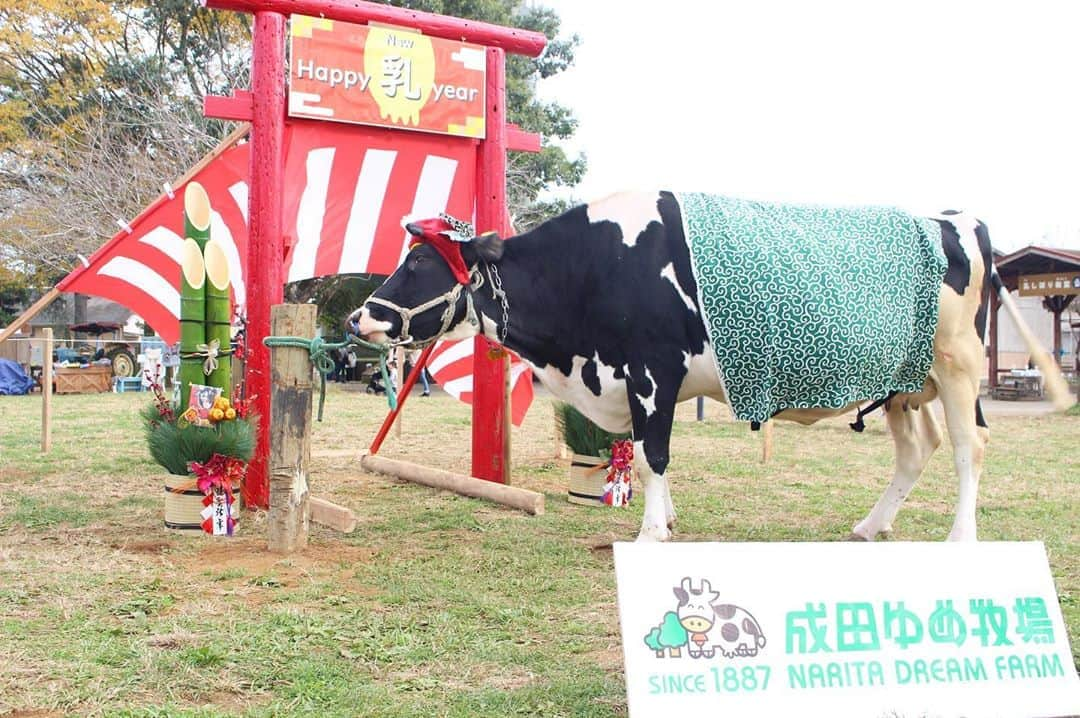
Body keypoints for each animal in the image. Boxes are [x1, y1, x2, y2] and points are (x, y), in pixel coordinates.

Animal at [347, 188, 1071, 537]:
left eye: (419, 261)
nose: (358, 317)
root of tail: (956, 217)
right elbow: (650, 455)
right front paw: (664, 520)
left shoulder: (651, 372)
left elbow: (652, 455)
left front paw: (649, 535)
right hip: (904, 381)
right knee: (917, 450)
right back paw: (870, 527)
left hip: (959, 366)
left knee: (968, 449)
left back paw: (959, 539)